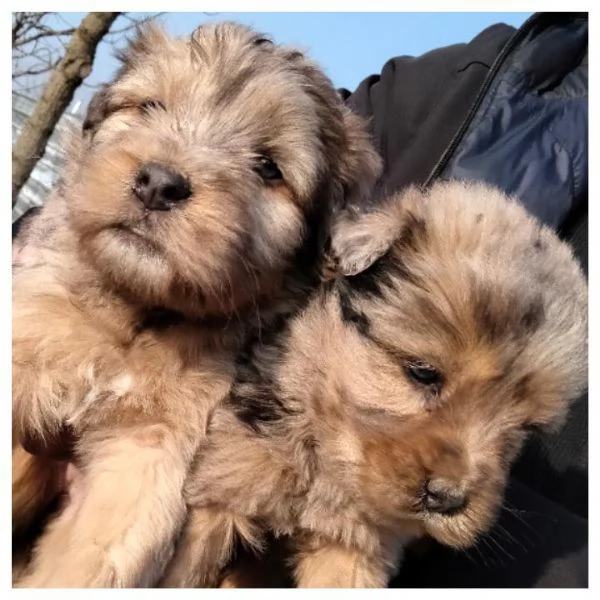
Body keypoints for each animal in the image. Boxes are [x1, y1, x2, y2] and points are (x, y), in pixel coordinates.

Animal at [11, 22, 380, 584]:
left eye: (268, 167)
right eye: (149, 106)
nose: (159, 184)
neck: (137, 314)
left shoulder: (151, 449)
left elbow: (95, 557)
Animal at [158, 180, 584, 588]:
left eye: (527, 428)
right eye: (422, 373)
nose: (446, 499)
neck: (330, 454)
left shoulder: (356, 546)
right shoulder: (222, 484)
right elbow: (186, 568)